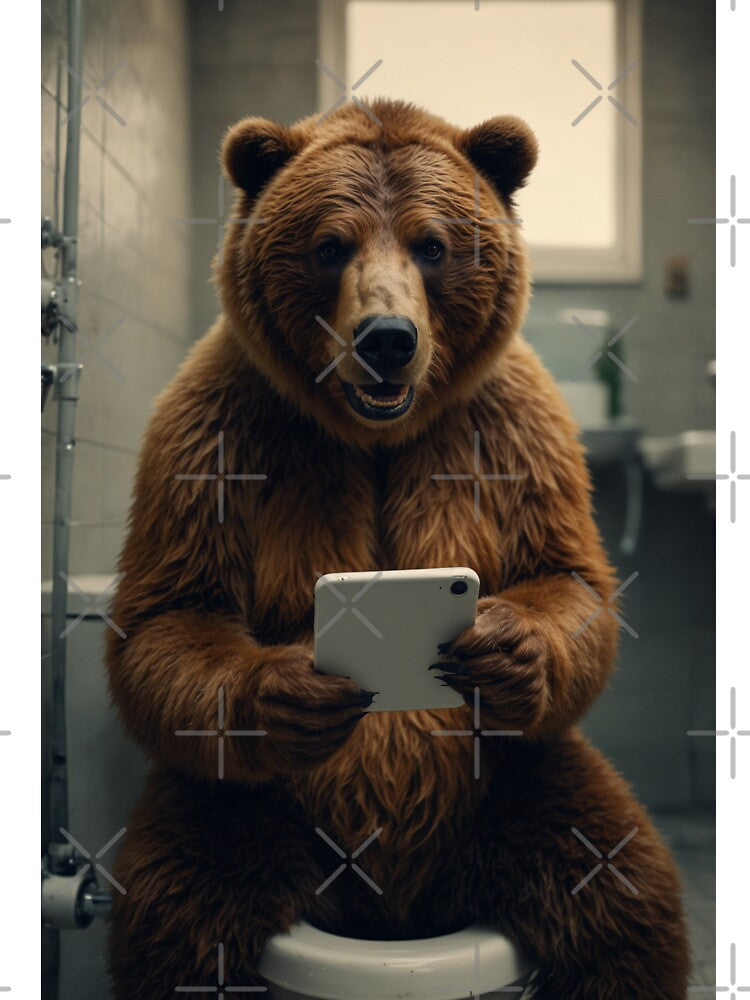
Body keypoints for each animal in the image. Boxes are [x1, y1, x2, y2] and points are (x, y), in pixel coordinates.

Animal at [106, 99, 690, 999]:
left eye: (432, 243)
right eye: (329, 243)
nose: (386, 337)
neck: (376, 434)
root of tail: (393, 915)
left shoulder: (511, 430)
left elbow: (567, 574)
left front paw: (507, 645)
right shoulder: (218, 432)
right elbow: (172, 612)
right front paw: (291, 688)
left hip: (518, 793)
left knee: (619, 907)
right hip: (245, 816)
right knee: (183, 916)